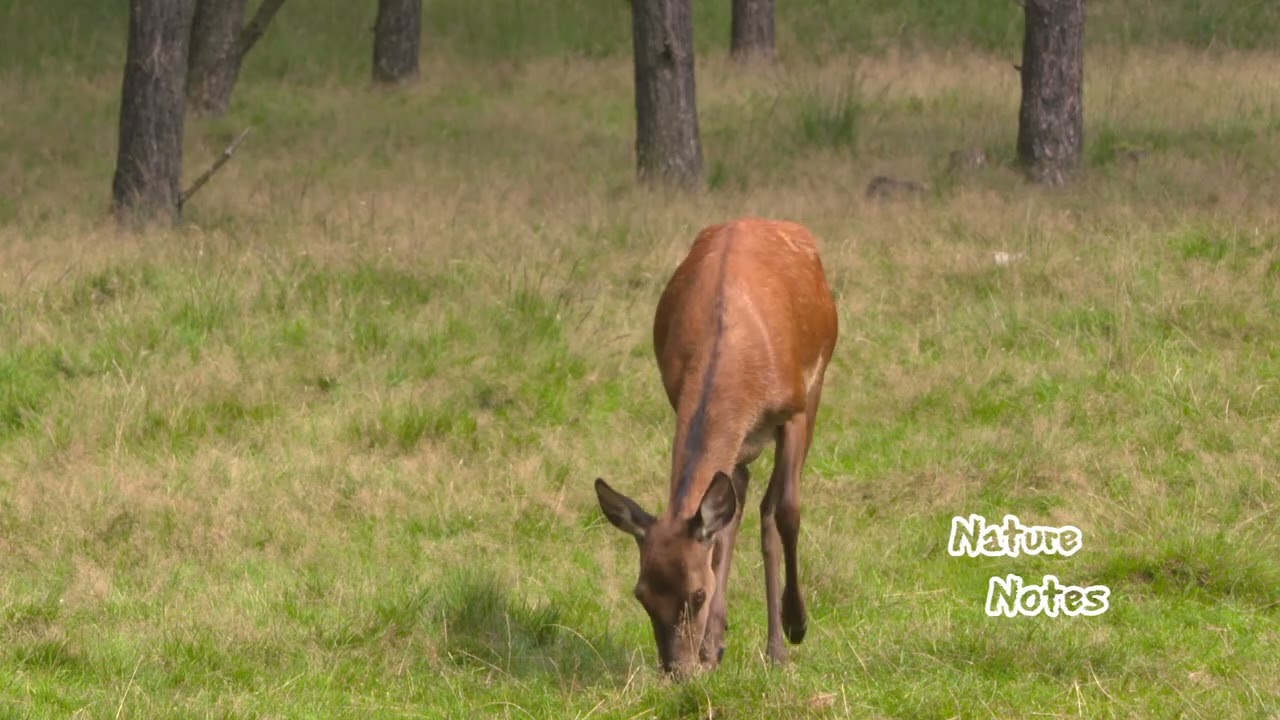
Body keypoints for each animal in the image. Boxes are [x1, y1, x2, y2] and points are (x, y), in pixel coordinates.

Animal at [595, 217, 838, 678]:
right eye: (641, 594)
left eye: (696, 595)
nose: (677, 670)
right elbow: (722, 529)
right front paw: (713, 647)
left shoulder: (795, 407)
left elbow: (788, 511)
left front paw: (796, 624)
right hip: (743, 448)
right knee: (738, 507)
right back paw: (722, 643)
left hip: (816, 381)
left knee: (770, 507)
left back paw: (779, 643)